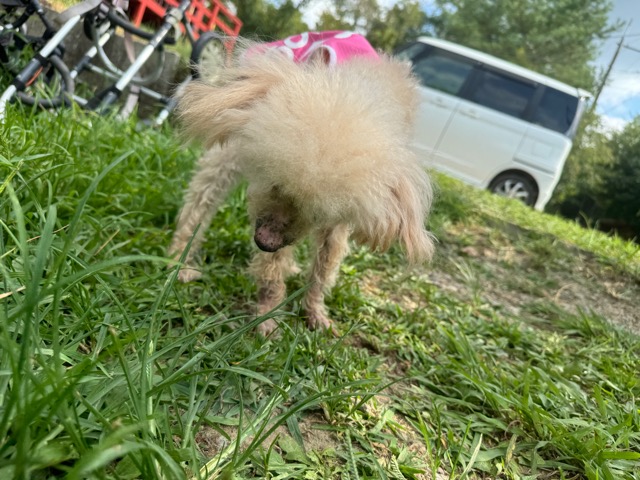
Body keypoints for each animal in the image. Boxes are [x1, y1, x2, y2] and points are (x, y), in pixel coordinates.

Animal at [168, 33, 435, 336]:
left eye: (317, 213)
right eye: (273, 182)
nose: (264, 242)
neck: (361, 84)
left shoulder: (337, 224)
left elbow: (325, 264)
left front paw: (314, 311)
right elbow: (273, 267)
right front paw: (268, 314)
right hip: (228, 148)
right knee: (199, 204)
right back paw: (180, 260)